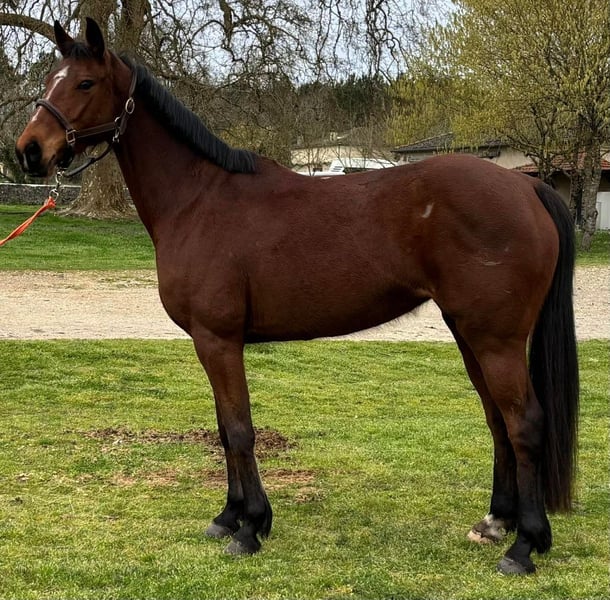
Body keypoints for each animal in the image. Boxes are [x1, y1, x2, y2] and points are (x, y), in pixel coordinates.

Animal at [15, 18, 579, 575]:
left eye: (85, 83)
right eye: (48, 79)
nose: (28, 150)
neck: (198, 201)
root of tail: (526, 188)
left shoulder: (218, 340)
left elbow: (239, 429)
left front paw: (250, 529)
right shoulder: (209, 343)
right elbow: (224, 429)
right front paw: (228, 517)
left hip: (496, 340)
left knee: (524, 424)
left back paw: (524, 547)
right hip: (469, 334)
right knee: (497, 419)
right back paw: (496, 522)